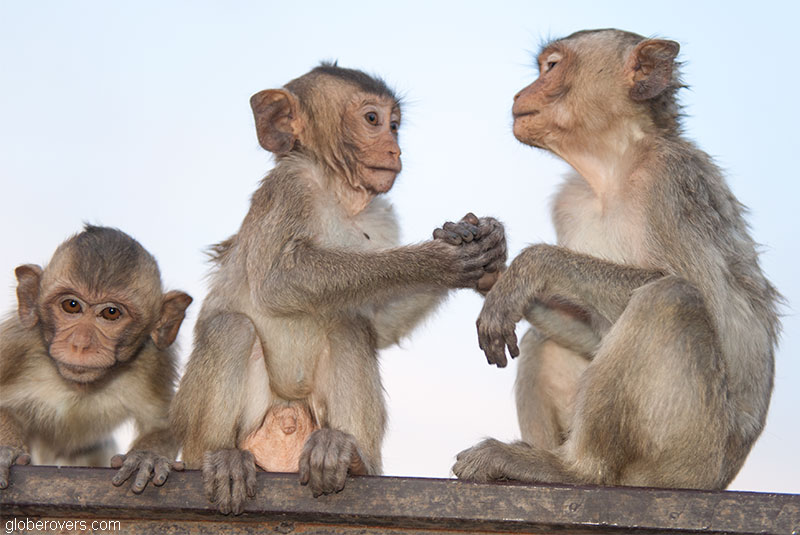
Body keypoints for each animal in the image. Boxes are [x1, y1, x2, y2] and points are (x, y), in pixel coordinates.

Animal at [0, 225, 192, 492]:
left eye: (111, 312)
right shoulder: (16, 346)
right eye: (71, 305)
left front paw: (147, 456)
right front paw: (5, 450)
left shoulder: (153, 362)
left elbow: (164, 423)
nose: (80, 344)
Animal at [170, 63, 507, 515]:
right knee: (231, 329)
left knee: (349, 328)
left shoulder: (382, 215)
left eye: (395, 125)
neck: (337, 191)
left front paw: (486, 255)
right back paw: (220, 457)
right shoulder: (289, 186)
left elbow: (379, 324)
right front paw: (440, 258)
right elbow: (279, 279)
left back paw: (351, 458)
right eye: (372, 120)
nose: (394, 149)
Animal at [452, 29, 781, 490]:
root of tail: (722, 476)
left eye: (551, 67)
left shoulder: (671, 180)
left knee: (670, 298)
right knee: (543, 338)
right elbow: (593, 331)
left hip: (689, 455)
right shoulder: (569, 203)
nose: (520, 93)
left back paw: (572, 469)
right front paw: (490, 266)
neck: (612, 170)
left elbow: (708, 298)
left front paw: (529, 266)